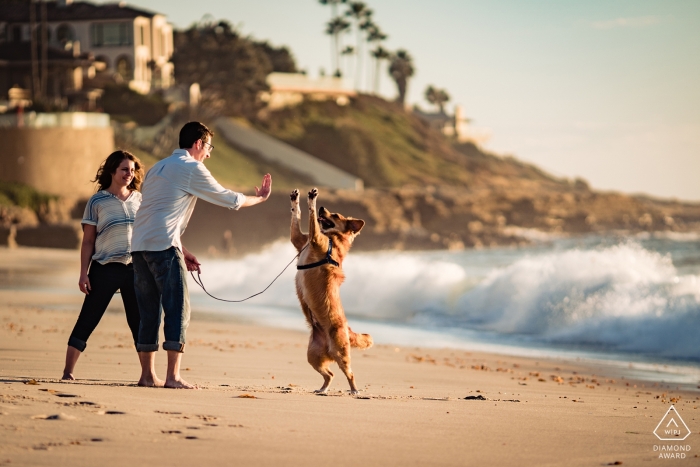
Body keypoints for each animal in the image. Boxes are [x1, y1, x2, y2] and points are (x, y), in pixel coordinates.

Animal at [288, 186, 372, 394]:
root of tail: (348, 329)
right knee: (330, 374)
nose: (323, 208)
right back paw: (322, 389)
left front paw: (312, 200)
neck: (332, 238)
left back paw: (355, 390)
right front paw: (295, 201)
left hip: (340, 353)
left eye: (335, 215)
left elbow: (311, 218)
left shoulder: (315, 238)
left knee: (350, 373)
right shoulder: (300, 240)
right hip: (313, 356)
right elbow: (297, 217)